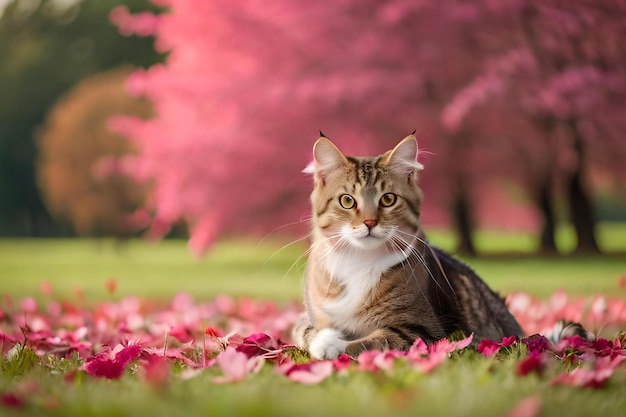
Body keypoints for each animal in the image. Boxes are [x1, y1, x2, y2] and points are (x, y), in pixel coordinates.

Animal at [292, 132, 520, 358]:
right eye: (347, 201)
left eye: (388, 199)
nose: (370, 222)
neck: (359, 260)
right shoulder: (309, 318)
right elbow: (306, 331)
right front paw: (325, 340)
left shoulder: (422, 330)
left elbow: (370, 342)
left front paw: (333, 347)